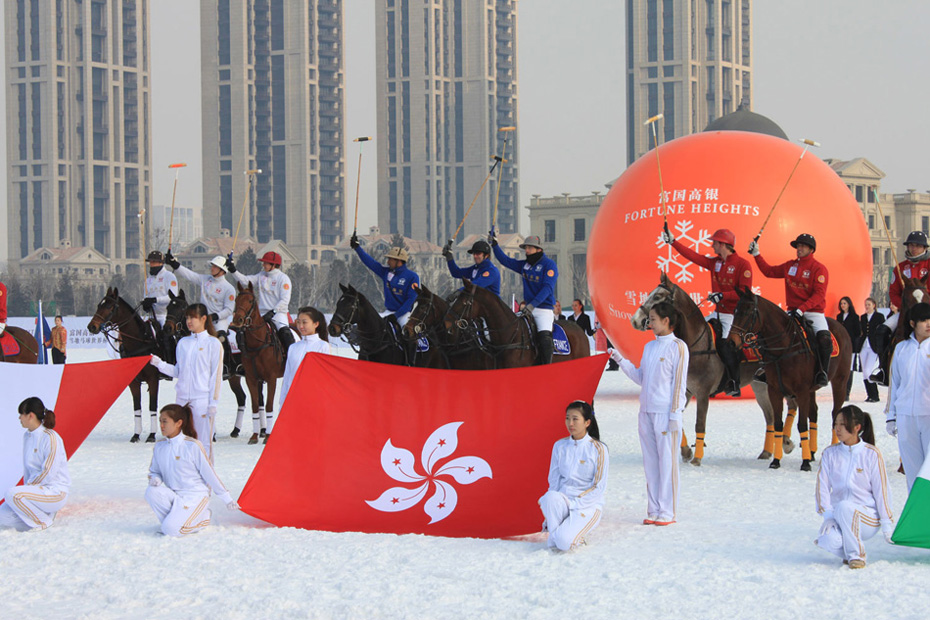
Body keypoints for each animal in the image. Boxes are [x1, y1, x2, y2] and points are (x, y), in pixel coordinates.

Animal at [87, 288, 163, 444]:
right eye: (98, 305)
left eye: (109, 306)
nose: (92, 326)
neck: (139, 342)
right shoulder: (133, 381)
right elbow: (137, 407)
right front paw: (136, 435)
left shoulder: (153, 379)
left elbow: (152, 406)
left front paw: (151, 435)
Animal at [228, 280, 282, 446]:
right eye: (236, 299)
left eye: (251, 301)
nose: (237, 320)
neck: (257, 343)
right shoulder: (251, 378)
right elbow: (255, 405)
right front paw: (254, 436)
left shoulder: (272, 378)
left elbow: (269, 405)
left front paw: (268, 436)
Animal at [728, 288, 852, 472]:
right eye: (735, 311)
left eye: (749, 312)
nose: (731, 342)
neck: (783, 348)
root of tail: (841, 327)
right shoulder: (775, 390)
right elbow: (778, 423)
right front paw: (776, 461)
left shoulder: (801, 391)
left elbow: (801, 425)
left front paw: (805, 463)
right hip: (811, 390)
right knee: (814, 413)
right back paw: (812, 452)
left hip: (839, 382)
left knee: (835, 413)